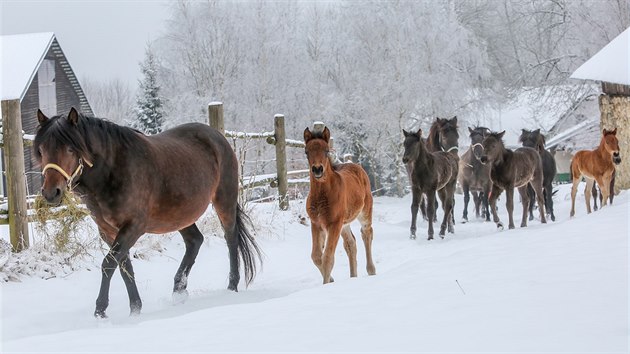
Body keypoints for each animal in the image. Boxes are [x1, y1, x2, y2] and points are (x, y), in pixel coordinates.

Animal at [34, 108, 262, 318]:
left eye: (70, 149)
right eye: (42, 149)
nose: (51, 193)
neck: (113, 170)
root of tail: (216, 136)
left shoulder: (134, 227)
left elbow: (109, 264)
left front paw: (101, 310)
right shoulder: (108, 231)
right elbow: (124, 266)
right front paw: (135, 308)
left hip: (224, 201)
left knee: (231, 239)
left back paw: (231, 286)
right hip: (179, 214)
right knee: (195, 241)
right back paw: (179, 290)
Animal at [304, 126, 376, 284]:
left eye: (326, 150)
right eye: (306, 152)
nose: (317, 169)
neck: (321, 195)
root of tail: (355, 166)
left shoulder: (334, 223)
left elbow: (327, 257)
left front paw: (326, 284)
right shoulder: (316, 223)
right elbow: (316, 256)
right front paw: (330, 280)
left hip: (364, 213)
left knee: (367, 233)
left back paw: (371, 270)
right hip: (344, 224)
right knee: (351, 244)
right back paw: (353, 276)